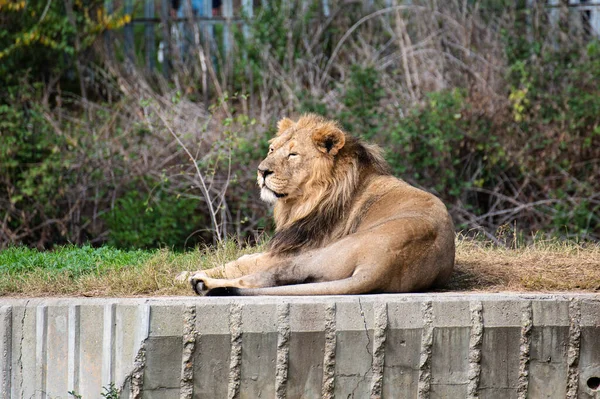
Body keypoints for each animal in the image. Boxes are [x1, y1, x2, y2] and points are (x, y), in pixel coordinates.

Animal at [188, 114, 454, 296]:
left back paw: (202, 283)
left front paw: (186, 273)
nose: (262, 171)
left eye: (292, 155)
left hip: (313, 256)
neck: (302, 201)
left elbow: (242, 262)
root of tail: (382, 267)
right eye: (272, 149)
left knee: (255, 280)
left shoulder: (292, 250)